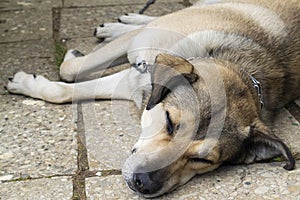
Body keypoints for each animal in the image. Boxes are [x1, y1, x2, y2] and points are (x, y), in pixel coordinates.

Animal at [5, 0, 300, 198]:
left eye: (203, 161)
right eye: (169, 122)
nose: (143, 184)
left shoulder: (133, 83)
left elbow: (66, 86)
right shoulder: (136, 52)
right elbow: (70, 71)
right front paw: (52, 67)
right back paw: (121, 24)